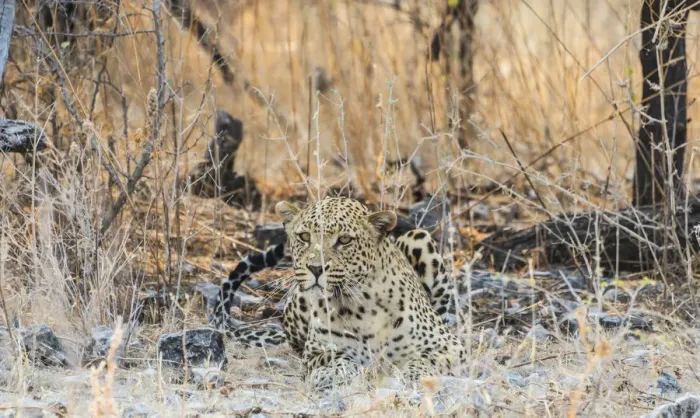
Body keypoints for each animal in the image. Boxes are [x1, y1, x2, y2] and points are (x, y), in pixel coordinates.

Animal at [210, 197, 466, 389]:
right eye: (304, 237)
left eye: (344, 240)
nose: (315, 268)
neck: (360, 306)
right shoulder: (314, 353)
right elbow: (339, 358)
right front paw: (332, 373)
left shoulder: (451, 345)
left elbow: (423, 360)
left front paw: (414, 374)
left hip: (417, 236)